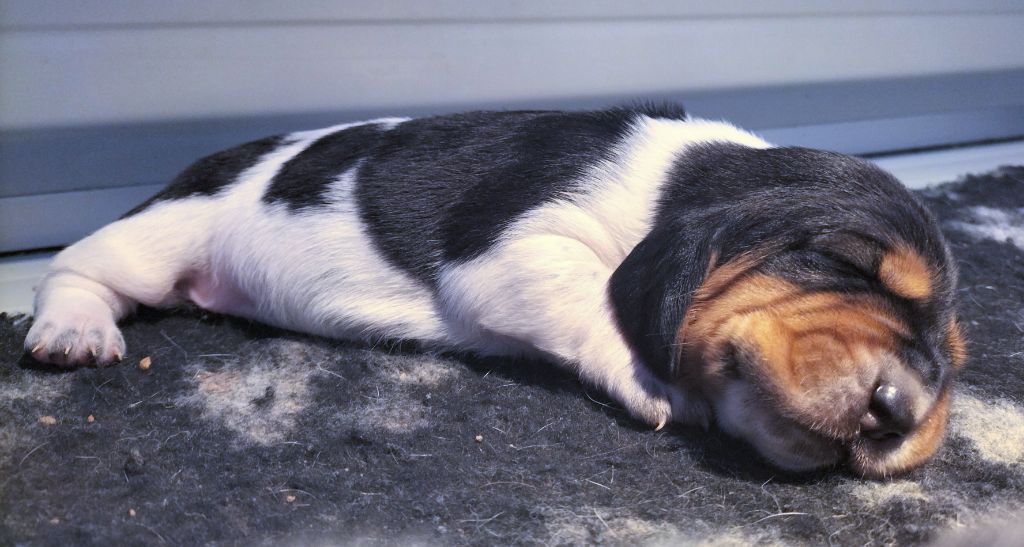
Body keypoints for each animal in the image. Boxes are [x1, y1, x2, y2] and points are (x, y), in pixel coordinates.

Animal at [25, 104, 966, 477]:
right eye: (846, 264)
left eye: (951, 360)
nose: (902, 410)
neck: (678, 185)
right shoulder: (517, 242)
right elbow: (591, 294)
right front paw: (655, 383)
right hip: (161, 235)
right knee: (75, 265)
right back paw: (73, 330)